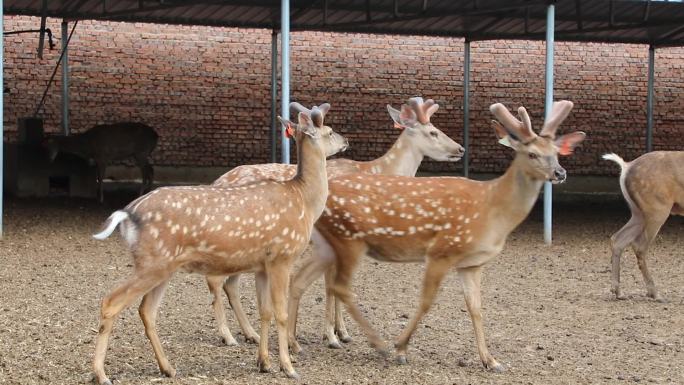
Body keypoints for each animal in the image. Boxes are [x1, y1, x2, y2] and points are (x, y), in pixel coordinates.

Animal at [89, 109, 348, 384]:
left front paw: (264, 363)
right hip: (152, 262)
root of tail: (127, 214)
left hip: (163, 266)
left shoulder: (263, 265)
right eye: (330, 131)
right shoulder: (282, 256)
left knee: (147, 310)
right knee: (111, 301)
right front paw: (288, 367)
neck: (304, 202)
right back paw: (101, 374)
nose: (346, 141)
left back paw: (168, 368)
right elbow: (281, 312)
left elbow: (265, 311)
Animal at [208, 97, 464, 348]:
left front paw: (342, 332)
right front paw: (332, 335)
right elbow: (330, 285)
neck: (378, 170)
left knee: (231, 283)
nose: (460, 149)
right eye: (433, 132)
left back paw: (250, 334)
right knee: (217, 280)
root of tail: (217, 181)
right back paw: (228, 336)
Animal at [290, 101, 588, 368]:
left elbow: (476, 308)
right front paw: (400, 348)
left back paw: (298, 343)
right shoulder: (442, 250)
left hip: (327, 245)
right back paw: (371, 343)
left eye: (556, 152)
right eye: (532, 154)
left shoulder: (472, 264)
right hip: (349, 239)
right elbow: (426, 301)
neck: (493, 209)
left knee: (300, 280)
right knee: (338, 286)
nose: (560, 172)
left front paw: (490, 360)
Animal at [600, 150, 680, 300]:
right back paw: (654, 293)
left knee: (618, 239)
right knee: (639, 246)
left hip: (638, 212)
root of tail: (626, 166)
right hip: (657, 208)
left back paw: (618, 291)